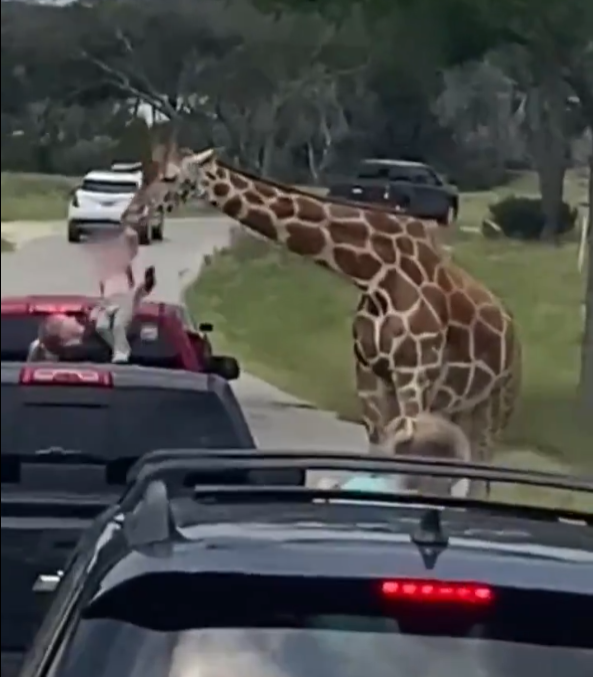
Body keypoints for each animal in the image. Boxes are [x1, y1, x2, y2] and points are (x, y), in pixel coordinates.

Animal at [131, 140, 522, 496]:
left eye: (170, 177)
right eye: (145, 172)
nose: (133, 213)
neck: (375, 274)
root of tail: (511, 327)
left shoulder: (414, 374)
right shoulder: (369, 375)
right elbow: (379, 451)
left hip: (497, 403)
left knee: (481, 475)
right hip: (461, 406)